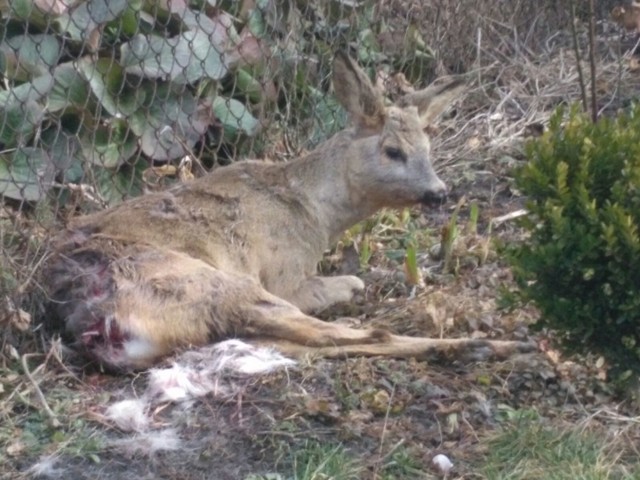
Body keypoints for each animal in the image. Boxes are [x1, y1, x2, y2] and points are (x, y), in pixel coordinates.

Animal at [46, 51, 536, 372]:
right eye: (394, 151)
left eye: (429, 150)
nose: (438, 193)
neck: (315, 210)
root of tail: (92, 318)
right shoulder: (284, 274)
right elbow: (346, 286)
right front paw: (352, 285)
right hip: (212, 283)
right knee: (339, 334)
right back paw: (490, 347)